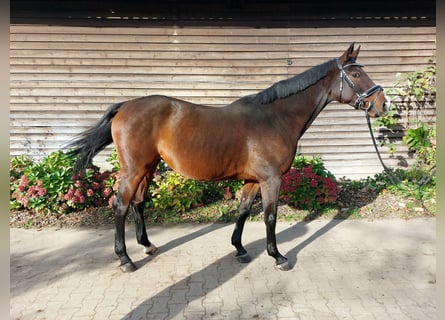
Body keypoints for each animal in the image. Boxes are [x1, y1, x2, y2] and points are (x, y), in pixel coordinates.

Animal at [68, 43, 388, 272]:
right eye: (356, 74)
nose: (383, 104)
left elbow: (244, 211)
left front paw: (240, 249)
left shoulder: (253, 180)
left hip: (147, 168)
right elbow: (270, 216)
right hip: (133, 170)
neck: (275, 117)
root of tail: (125, 106)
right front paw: (278, 257)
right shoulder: (271, 179)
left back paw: (147, 245)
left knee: (138, 202)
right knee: (121, 205)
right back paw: (125, 259)